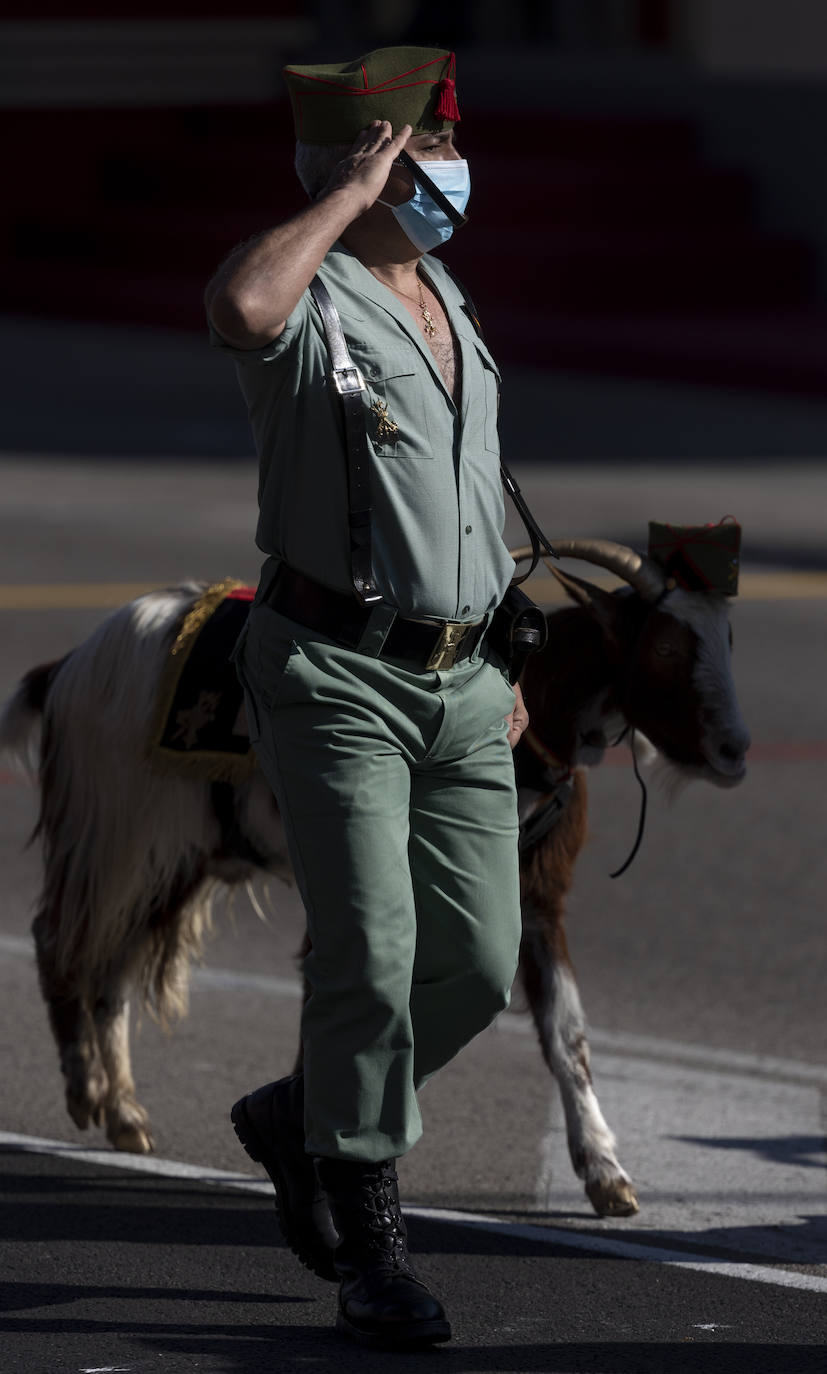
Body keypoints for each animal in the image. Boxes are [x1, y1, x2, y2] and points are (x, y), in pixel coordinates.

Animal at [0, 535, 747, 1214]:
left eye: (727, 640)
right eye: (665, 649)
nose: (734, 750)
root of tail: (69, 665)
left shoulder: (537, 899)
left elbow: (568, 1035)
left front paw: (605, 1172)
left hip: (172, 853)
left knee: (114, 967)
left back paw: (124, 1112)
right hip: (113, 828)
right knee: (59, 938)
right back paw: (84, 1091)